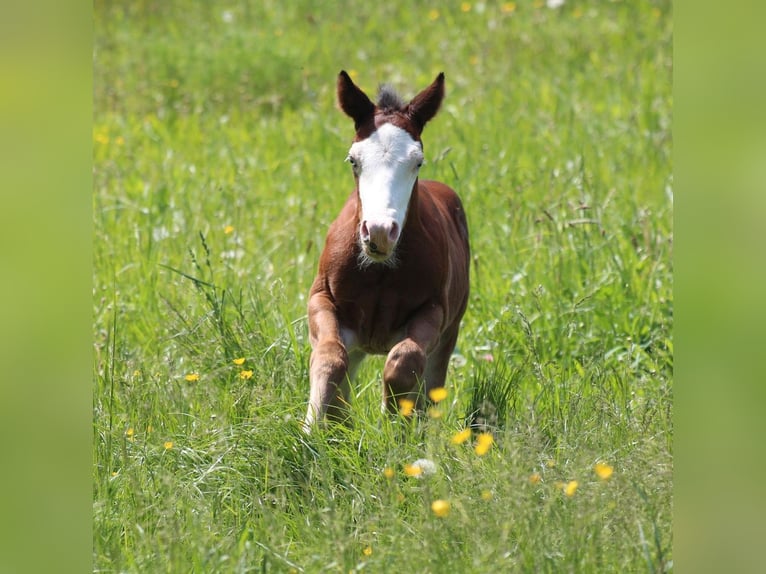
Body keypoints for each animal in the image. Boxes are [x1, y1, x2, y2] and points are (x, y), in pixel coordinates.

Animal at [304, 71, 472, 432]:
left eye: (417, 161)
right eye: (353, 160)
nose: (380, 232)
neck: (380, 272)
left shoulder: (433, 311)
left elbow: (403, 360)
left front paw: (394, 421)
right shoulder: (322, 299)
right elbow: (329, 357)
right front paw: (314, 427)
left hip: (450, 333)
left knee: (431, 383)